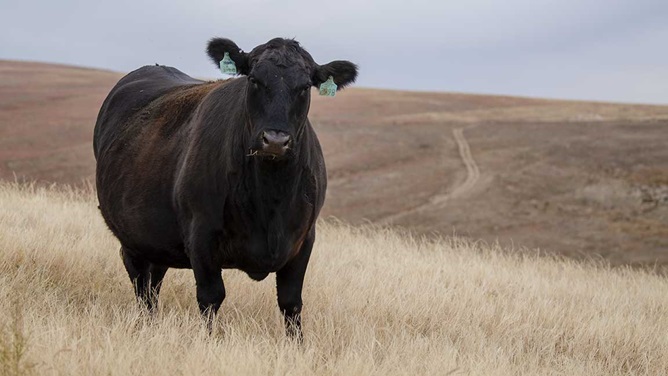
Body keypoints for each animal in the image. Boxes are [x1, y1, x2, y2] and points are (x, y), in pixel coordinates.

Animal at [93, 37, 358, 338]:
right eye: (253, 80)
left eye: (304, 86)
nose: (275, 140)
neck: (271, 199)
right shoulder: (201, 235)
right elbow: (211, 297)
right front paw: (208, 340)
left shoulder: (303, 240)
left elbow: (291, 302)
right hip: (132, 235)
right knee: (141, 282)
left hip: (157, 238)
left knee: (154, 281)